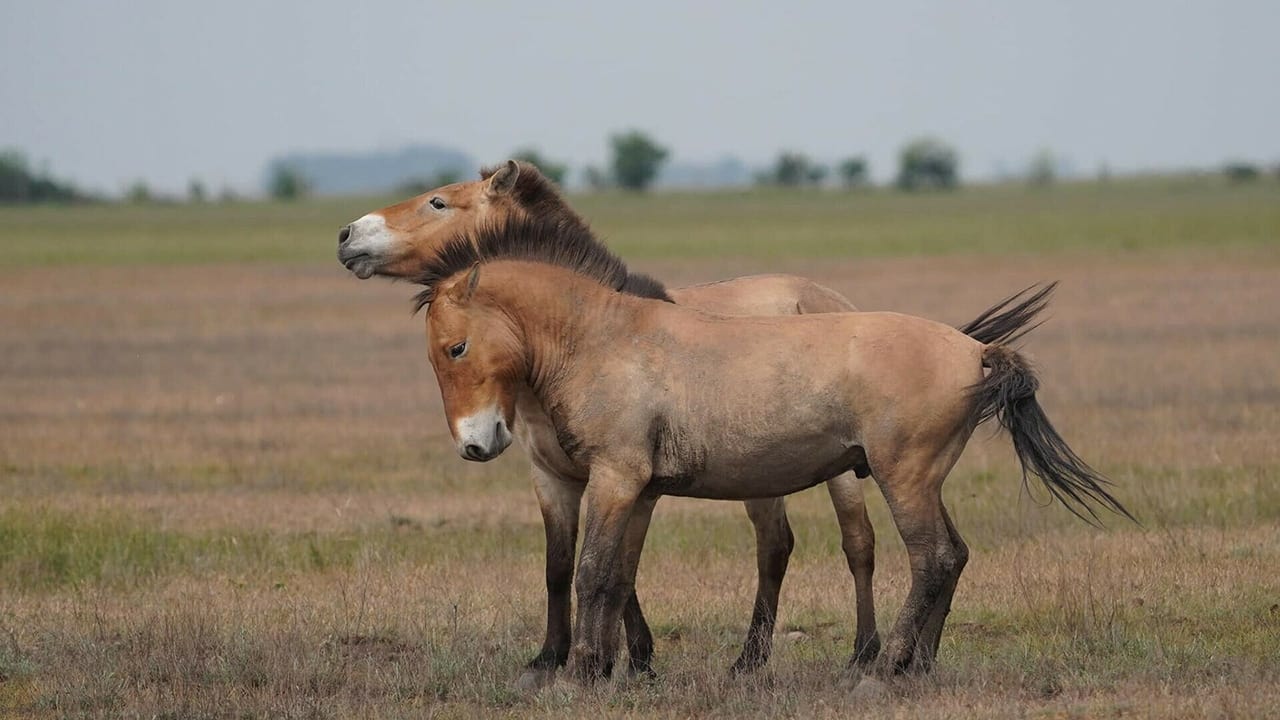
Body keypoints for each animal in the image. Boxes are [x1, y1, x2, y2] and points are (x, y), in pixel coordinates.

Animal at [419, 239, 1131, 676]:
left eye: (456, 348)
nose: (475, 443)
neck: (607, 338)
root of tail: (973, 350)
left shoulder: (614, 480)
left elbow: (592, 573)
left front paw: (581, 672)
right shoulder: (640, 491)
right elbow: (617, 577)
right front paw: (610, 668)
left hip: (903, 480)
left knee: (932, 559)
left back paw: (884, 668)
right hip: (923, 482)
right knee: (953, 556)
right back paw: (917, 666)